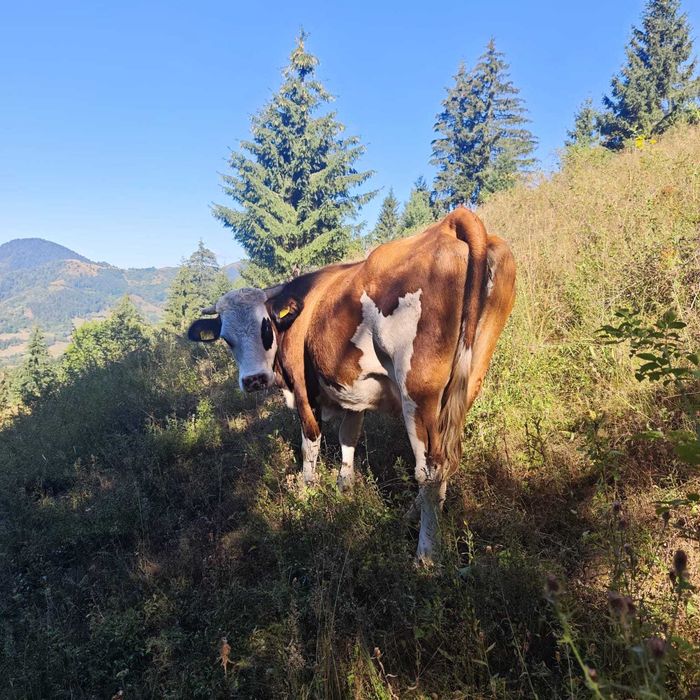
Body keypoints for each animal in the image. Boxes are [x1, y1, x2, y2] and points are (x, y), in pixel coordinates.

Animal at [188, 208, 516, 563]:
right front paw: (344, 487)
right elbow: (349, 437)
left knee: (431, 469)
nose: (253, 380)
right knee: (448, 459)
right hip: (468, 381)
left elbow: (310, 444)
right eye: (226, 338)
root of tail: (449, 224)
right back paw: (412, 516)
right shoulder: (353, 390)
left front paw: (306, 493)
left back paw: (426, 554)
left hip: (419, 393)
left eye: (265, 326)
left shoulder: (303, 392)